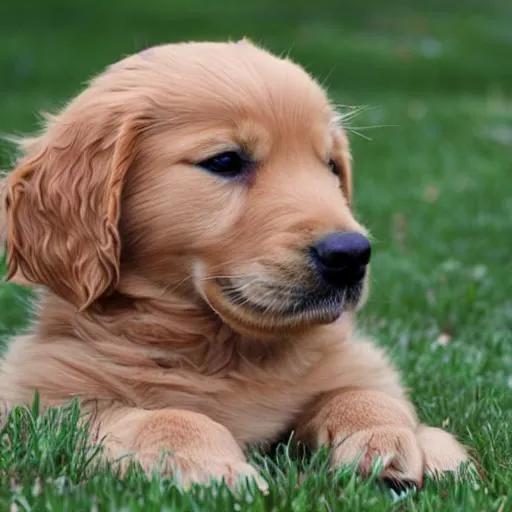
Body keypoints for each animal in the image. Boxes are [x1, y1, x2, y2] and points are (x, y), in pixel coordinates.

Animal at [0, 39, 468, 488]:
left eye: (332, 166)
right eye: (225, 161)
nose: (351, 254)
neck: (229, 353)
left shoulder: (352, 363)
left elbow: (363, 393)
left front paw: (396, 439)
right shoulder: (46, 399)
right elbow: (165, 415)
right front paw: (208, 466)